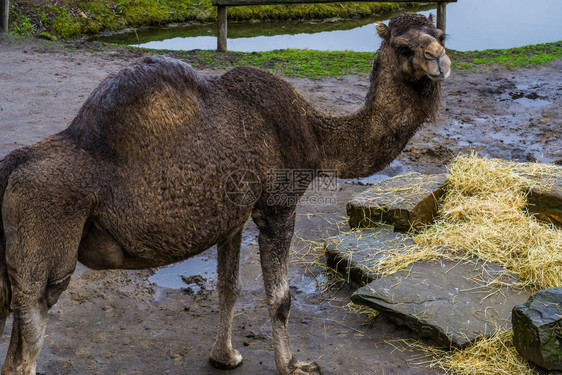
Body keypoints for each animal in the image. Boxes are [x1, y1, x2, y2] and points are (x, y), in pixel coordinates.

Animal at [0, 12, 448, 375]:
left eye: (441, 35)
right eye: (404, 46)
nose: (440, 61)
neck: (317, 134)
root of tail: (11, 168)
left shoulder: (231, 216)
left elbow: (228, 289)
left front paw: (225, 357)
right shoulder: (277, 205)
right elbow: (280, 299)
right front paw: (294, 365)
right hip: (44, 252)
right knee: (26, 348)